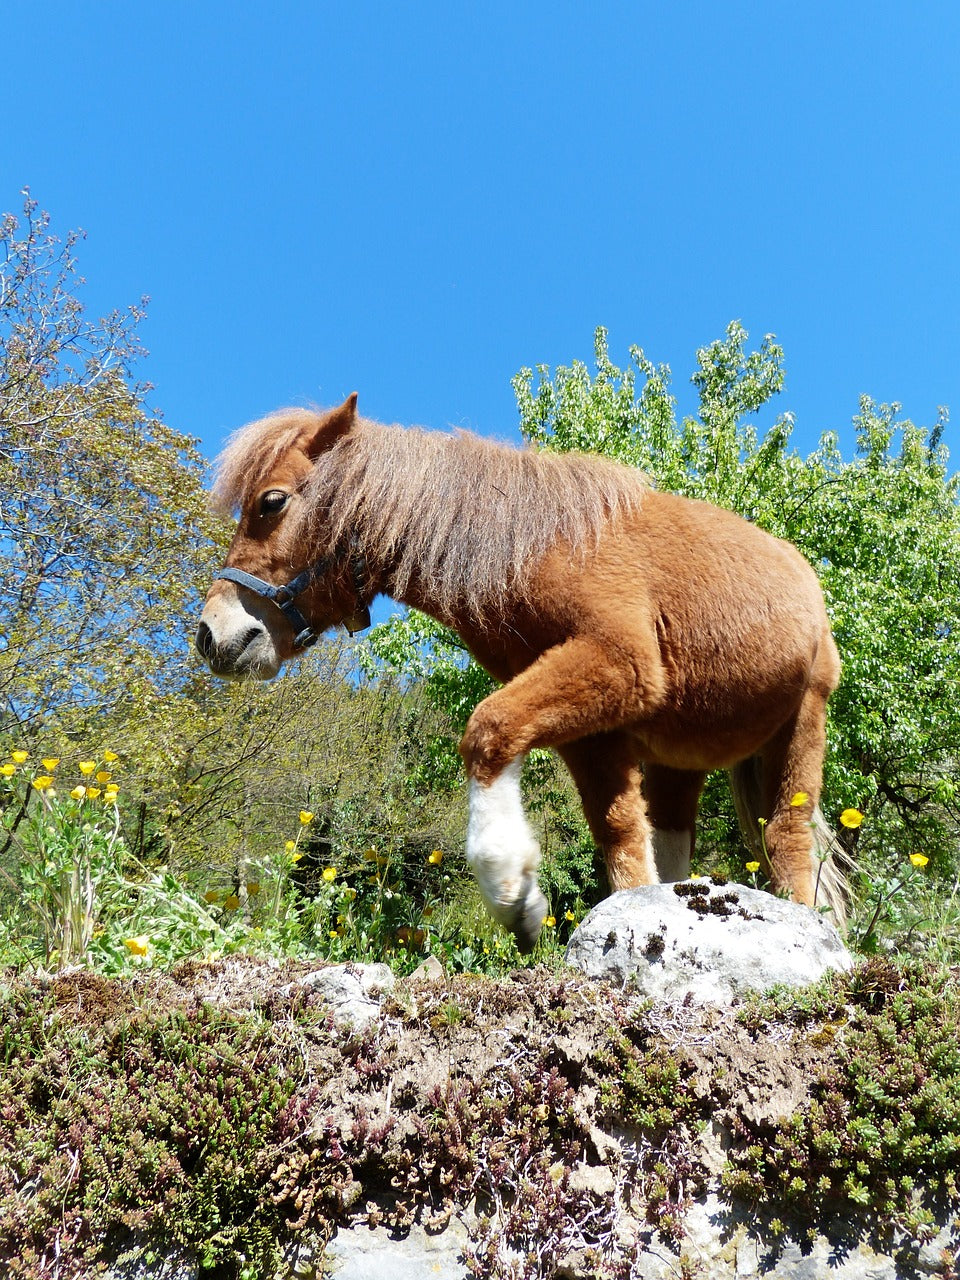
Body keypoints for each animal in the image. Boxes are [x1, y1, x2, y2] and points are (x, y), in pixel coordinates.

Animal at [196, 394, 847, 951]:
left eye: (272, 501)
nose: (211, 635)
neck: (532, 547)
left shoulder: (620, 664)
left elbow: (488, 731)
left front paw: (511, 888)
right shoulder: (595, 731)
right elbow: (619, 836)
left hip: (801, 726)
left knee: (787, 840)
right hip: (675, 761)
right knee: (671, 842)